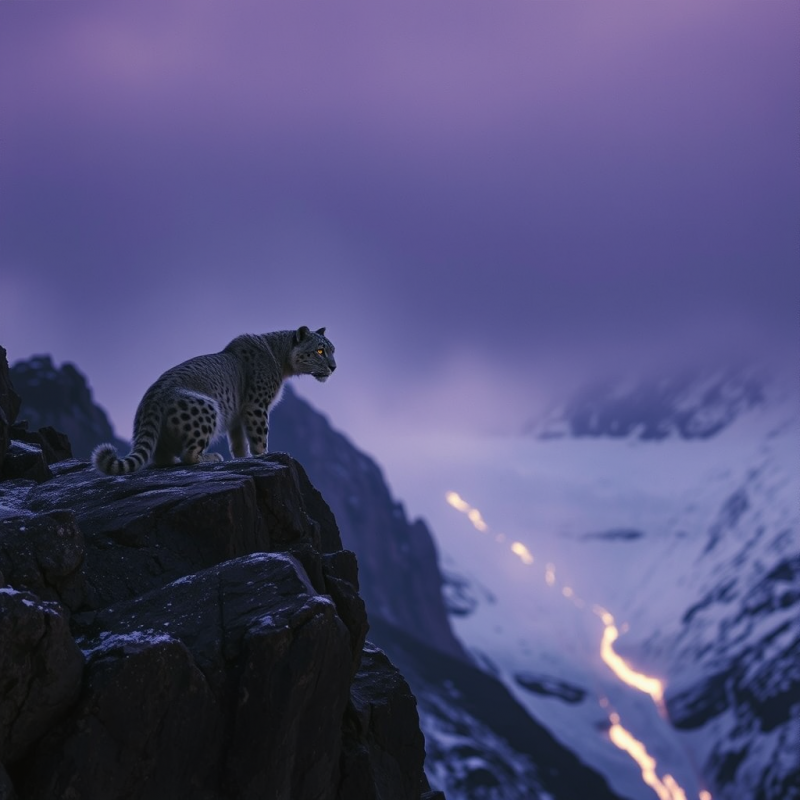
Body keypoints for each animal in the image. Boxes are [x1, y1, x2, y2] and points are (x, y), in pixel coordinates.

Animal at [92, 326, 335, 475]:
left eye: (332, 349)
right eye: (320, 350)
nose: (334, 367)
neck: (282, 362)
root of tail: (150, 398)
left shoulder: (237, 416)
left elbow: (238, 442)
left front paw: (243, 458)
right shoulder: (257, 406)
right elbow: (259, 437)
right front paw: (263, 455)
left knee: (159, 457)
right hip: (207, 409)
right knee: (189, 454)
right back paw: (211, 457)